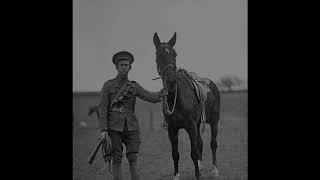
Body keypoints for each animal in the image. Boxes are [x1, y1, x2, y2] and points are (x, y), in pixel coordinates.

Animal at [152, 32, 220, 180]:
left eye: (175, 54)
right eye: (158, 55)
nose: (171, 81)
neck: (177, 100)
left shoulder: (191, 126)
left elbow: (193, 153)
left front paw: (197, 175)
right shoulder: (172, 129)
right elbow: (175, 154)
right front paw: (177, 175)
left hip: (214, 121)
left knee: (213, 144)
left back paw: (215, 169)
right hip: (199, 123)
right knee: (200, 143)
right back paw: (201, 166)